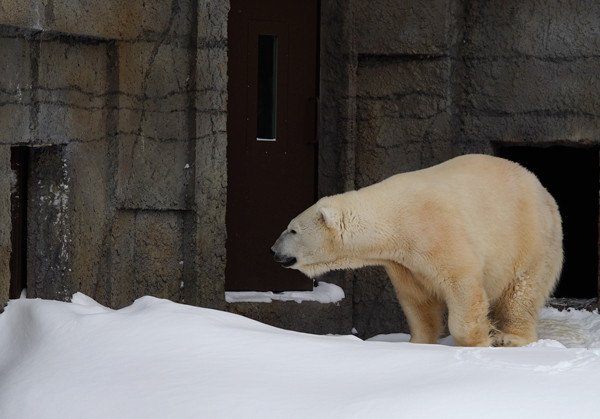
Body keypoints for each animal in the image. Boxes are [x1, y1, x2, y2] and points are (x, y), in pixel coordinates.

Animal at [272, 154, 564, 348]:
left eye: (292, 230)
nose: (273, 250)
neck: (394, 217)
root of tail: (545, 193)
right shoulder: (404, 262)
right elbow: (418, 302)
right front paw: (418, 344)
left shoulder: (437, 231)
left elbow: (461, 282)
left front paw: (481, 341)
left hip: (530, 238)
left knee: (522, 291)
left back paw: (511, 337)